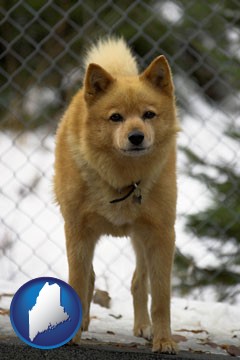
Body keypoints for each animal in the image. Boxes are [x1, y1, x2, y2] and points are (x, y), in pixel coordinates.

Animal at [53, 38, 179, 352]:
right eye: (115, 117)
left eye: (149, 114)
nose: (136, 137)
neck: (123, 181)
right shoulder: (78, 232)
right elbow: (78, 283)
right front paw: (73, 335)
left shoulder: (162, 235)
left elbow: (161, 298)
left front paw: (164, 340)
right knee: (90, 279)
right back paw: (84, 322)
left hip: (141, 238)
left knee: (138, 282)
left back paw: (143, 327)